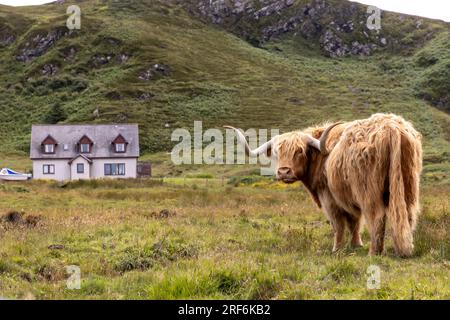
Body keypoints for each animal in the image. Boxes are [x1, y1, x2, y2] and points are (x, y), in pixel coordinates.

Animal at [227, 114, 424, 256]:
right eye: (277, 152)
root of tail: (391, 127)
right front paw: (356, 245)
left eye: (300, 151)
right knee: (407, 215)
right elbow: (354, 222)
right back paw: (404, 248)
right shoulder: (347, 198)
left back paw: (374, 252)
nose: (283, 172)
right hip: (408, 186)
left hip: (368, 191)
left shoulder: (329, 197)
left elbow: (339, 224)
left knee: (377, 216)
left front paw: (337, 249)